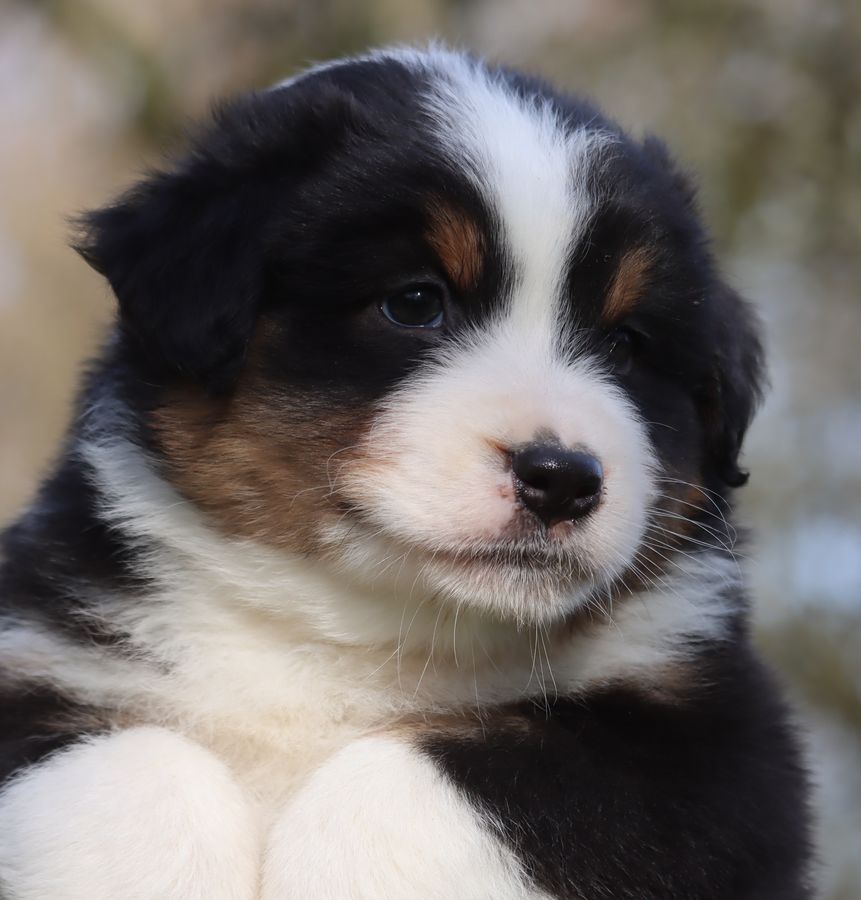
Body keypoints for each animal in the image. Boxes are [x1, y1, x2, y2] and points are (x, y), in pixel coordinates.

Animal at [0, 49, 808, 900]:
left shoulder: (713, 746)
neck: (359, 631)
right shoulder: (43, 656)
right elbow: (134, 763)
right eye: (416, 303)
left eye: (625, 344)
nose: (561, 478)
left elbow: (420, 779)